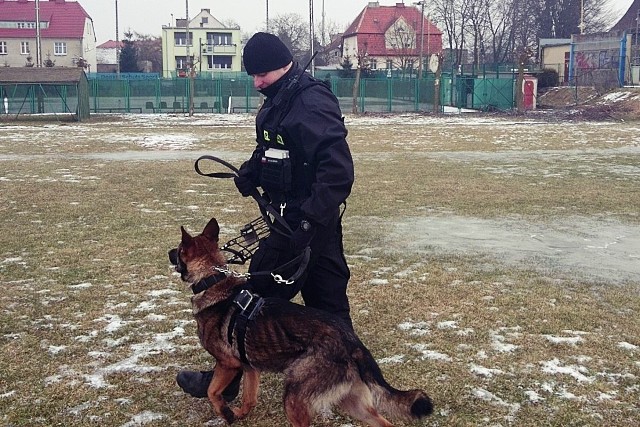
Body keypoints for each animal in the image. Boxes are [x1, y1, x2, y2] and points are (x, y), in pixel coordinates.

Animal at [168, 219, 432, 426]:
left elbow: (213, 391)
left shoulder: (228, 363)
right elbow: (249, 400)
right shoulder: (250, 368)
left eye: (179, 249)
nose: (168, 252)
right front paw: (238, 415)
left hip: (294, 397)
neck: (212, 280)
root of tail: (352, 342)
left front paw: (225, 412)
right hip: (353, 403)